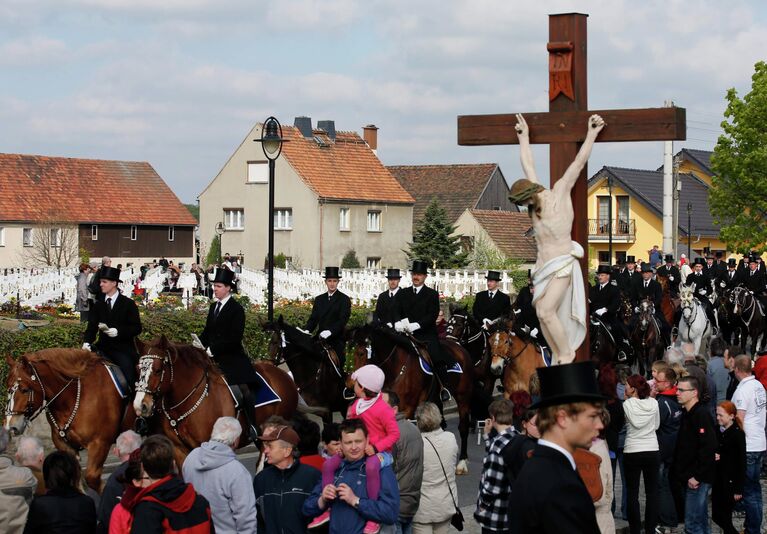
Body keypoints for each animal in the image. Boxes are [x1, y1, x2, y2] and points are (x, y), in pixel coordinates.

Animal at [4, 350, 124, 492]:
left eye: (24, 389)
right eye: (8, 388)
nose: (10, 426)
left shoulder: (99, 444)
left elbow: (93, 479)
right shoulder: (64, 445)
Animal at [348, 324, 474, 476]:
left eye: (361, 353)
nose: (351, 386)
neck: (396, 367)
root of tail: (459, 347)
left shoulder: (407, 409)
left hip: (463, 397)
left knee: (463, 426)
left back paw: (462, 462)